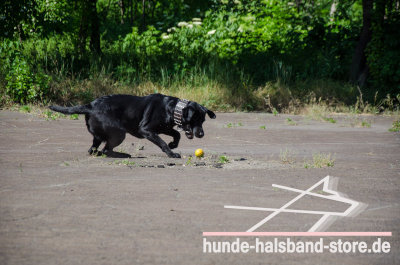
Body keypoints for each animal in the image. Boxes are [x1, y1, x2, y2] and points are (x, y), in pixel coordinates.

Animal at [49, 94, 216, 158]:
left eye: (203, 121)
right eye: (194, 120)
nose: (201, 134)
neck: (173, 108)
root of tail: (90, 106)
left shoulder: (162, 128)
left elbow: (177, 133)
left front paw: (173, 144)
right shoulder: (146, 130)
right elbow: (162, 142)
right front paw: (171, 152)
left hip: (100, 135)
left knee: (95, 149)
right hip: (119, 134)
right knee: (106, 150)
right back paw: (122, 155)